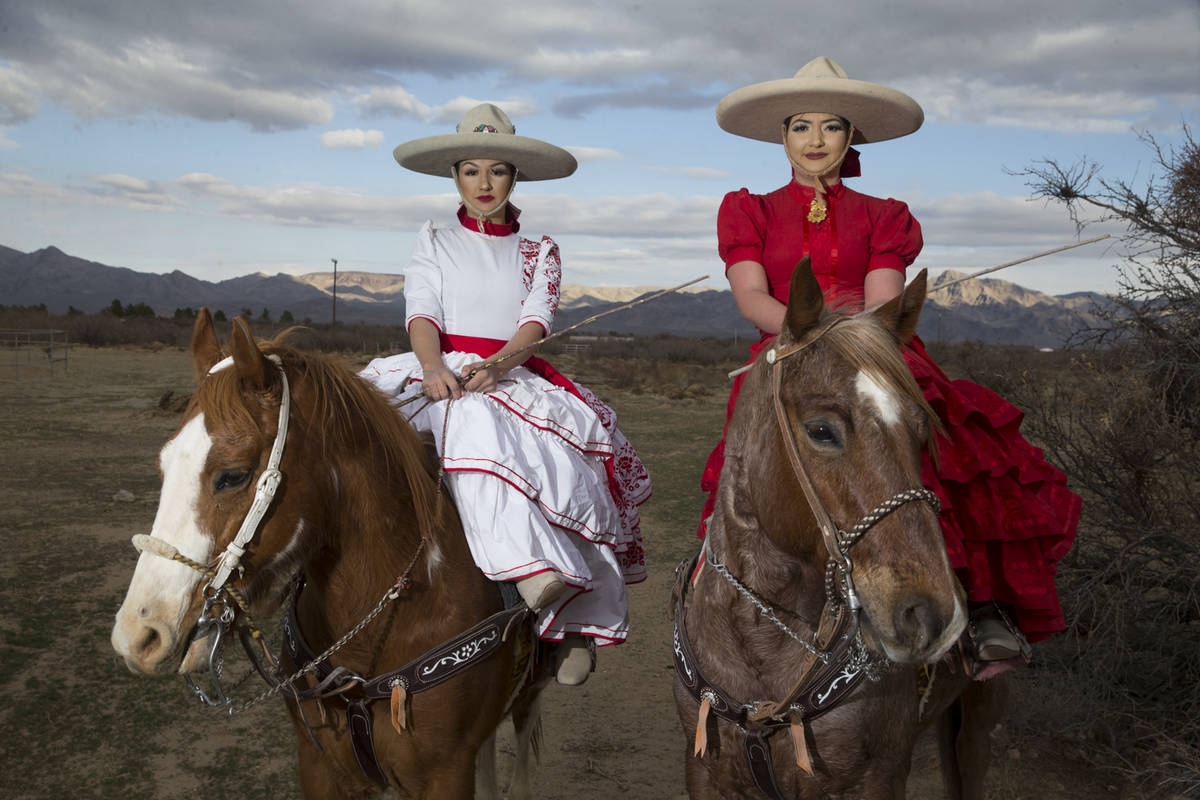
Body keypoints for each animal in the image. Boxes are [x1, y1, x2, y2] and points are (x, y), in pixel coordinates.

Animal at [111, 311, 544, 800]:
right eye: (163, 466)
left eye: (233, 475)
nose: (139, 633)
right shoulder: (320, 765)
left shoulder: (446, 774)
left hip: (532, 693)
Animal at [672, 260, 1008, 796]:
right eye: (821, 430)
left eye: (923, 433)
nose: (930, 614)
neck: (759, 654)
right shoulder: (703, 771)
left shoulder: (878, 776)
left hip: (979, 718)